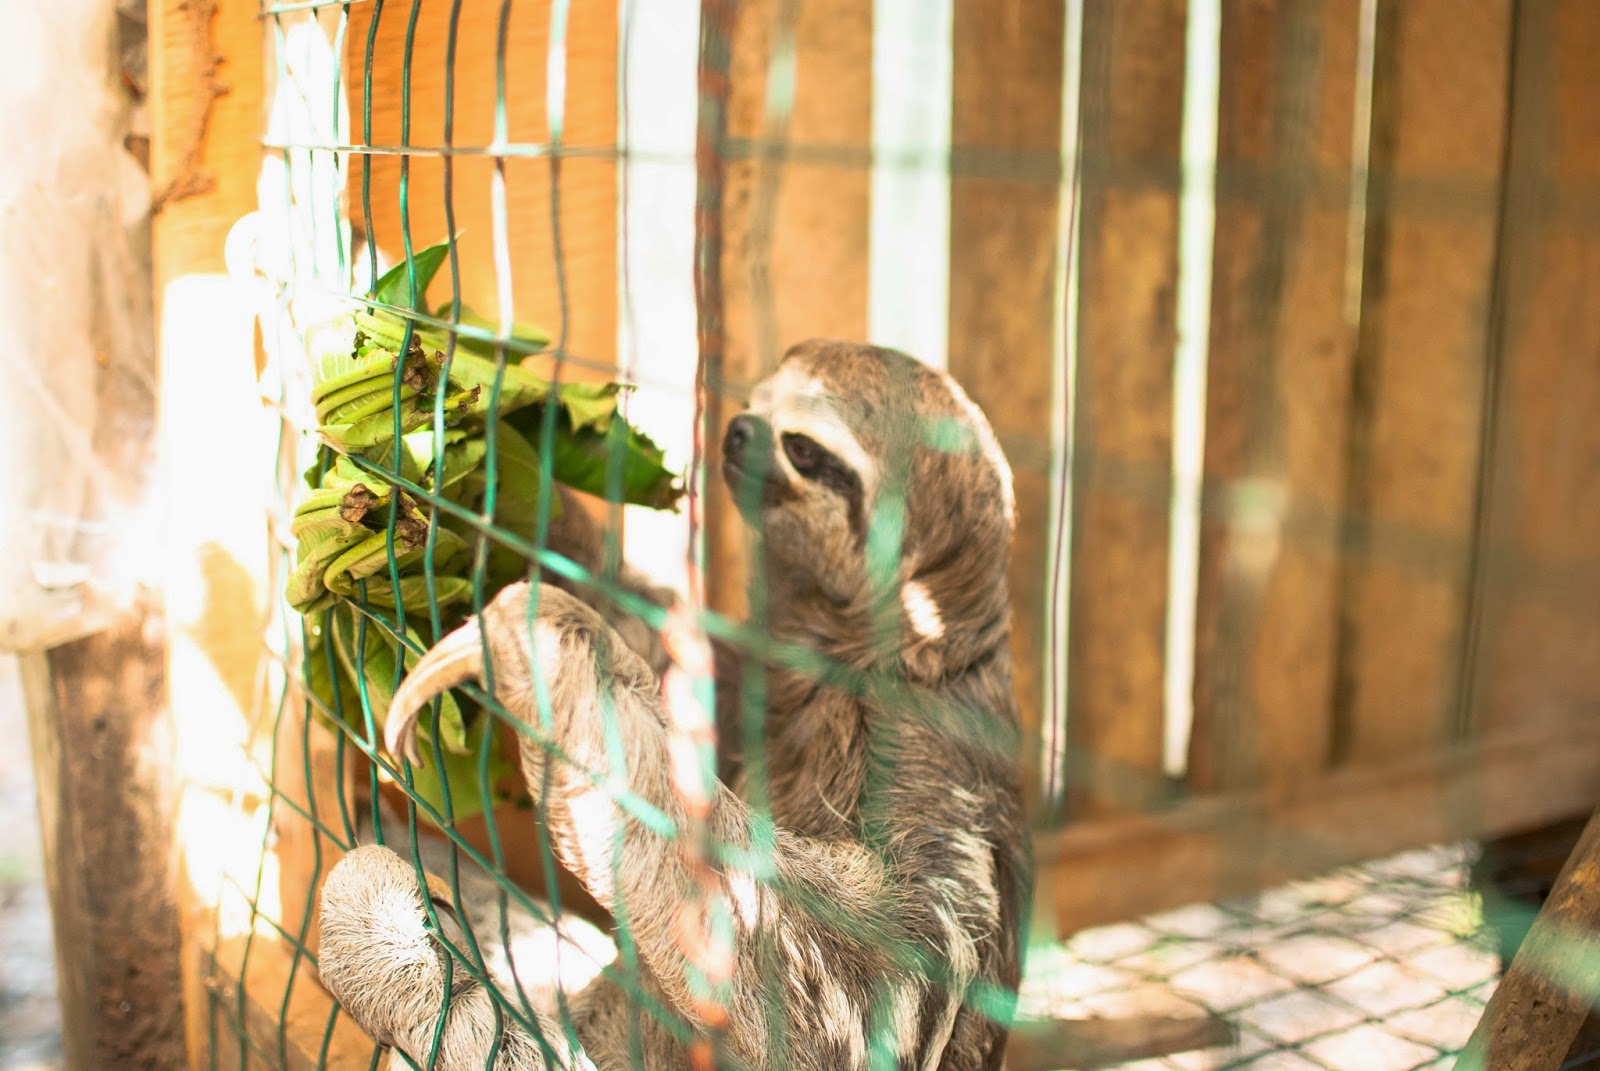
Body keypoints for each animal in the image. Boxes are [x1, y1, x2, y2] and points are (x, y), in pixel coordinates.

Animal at [317, 339, 1031, 1070]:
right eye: (755, 402)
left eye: (804, 448)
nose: (738, 430)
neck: (847, 652)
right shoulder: (742, 677)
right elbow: (645, 634)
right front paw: (472, 448)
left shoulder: (930, 760)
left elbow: (857, 999)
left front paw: (538, 643)